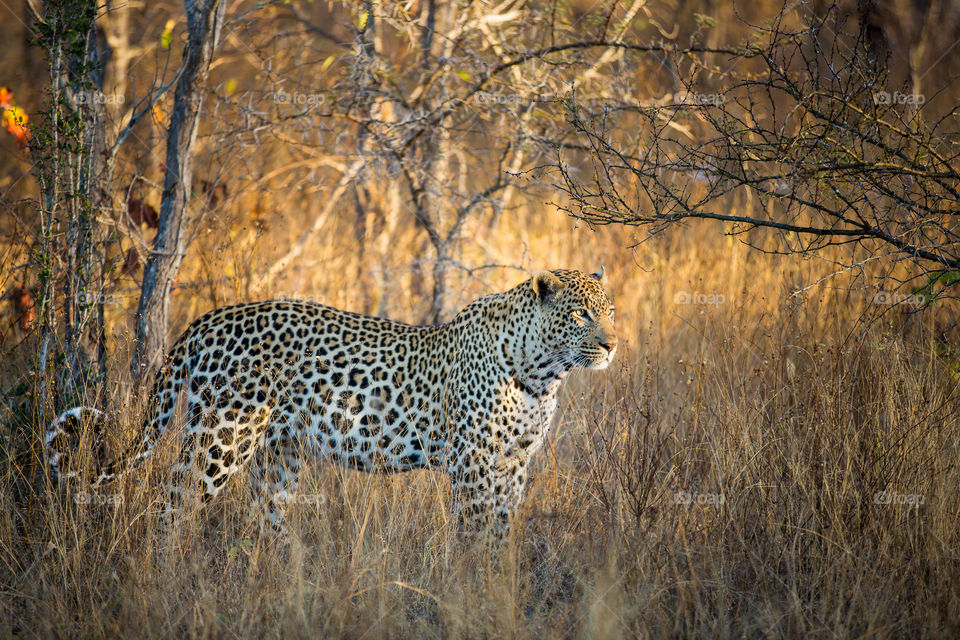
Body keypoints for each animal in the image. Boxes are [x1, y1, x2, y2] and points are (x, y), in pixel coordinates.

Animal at [45, 268, 616, 544]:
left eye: (610, 310)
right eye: (580, 314)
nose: (612, 344)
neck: (542, 374)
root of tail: (207, 320)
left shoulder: (513, 464)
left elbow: (502, 530)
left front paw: (498, 585)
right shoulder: (473, 462)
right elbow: (475, 531)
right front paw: (474, 587)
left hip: (278, 452)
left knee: (265, 518)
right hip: (221, 437)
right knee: (170, 506)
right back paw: (167, 580)